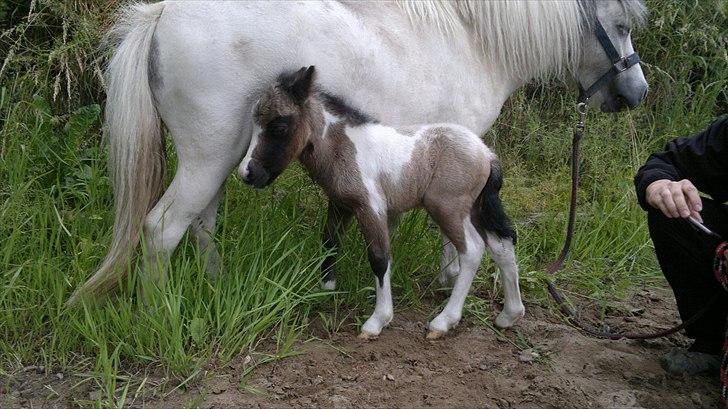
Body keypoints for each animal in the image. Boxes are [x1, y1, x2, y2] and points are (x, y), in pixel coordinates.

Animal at [67, 0, 648, 306]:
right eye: (620, 25)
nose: (636, 94)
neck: (473, 41)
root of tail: (161, 15)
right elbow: (456, 226)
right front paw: (451, 277)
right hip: (207, 160)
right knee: (162, 229)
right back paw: (158, 310)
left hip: (220, 159)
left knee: (201, 224)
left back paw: (215, 286)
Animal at [239, 67, 524, 338]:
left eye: (279, 126)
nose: (247, 173)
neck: (344, 147)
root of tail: (487, 154)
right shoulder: (340, 204)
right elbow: (330, 241)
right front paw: (326, 289)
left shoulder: (371, 207)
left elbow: (379, 257)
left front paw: (378, 321)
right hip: (476, 208)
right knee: (501, 245)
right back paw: (510, 315)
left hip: (448, 209)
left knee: (473, 250)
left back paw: (443, 322)